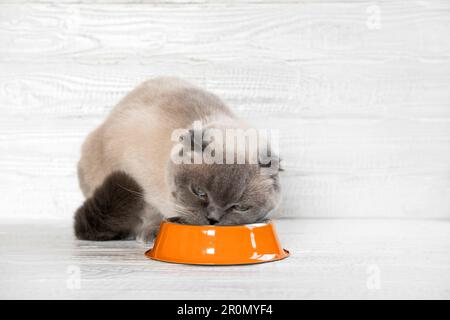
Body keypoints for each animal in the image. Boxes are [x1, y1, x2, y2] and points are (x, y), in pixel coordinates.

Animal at [75, 78, 284, 242]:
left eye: (240, 207)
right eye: (199, 192)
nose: (213, 219)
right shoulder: (138, 181)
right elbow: (150, 211)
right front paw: (153, 233)